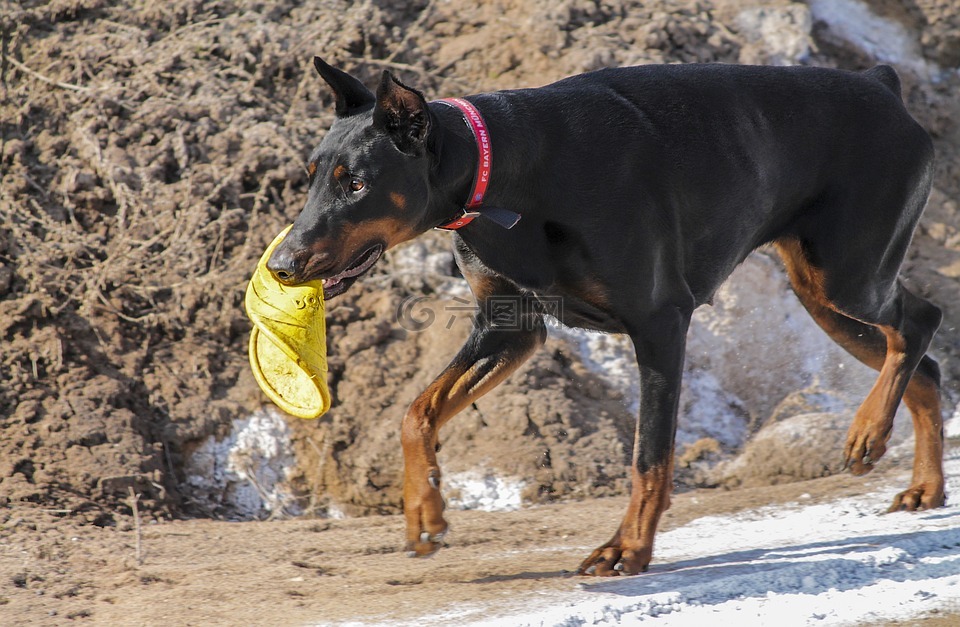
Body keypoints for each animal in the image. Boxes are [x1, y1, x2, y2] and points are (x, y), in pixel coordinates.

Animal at [268, 56, 944, 576]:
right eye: (311, 177)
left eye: (356, 184)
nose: (281, 263)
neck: (507, 175)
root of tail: (884, 84)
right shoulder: (509, 327)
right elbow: (417, 413)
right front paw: (423, 516)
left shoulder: (661, 323)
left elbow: (650, 457)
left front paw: (628, 549)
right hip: (822, 292)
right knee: (925, 364)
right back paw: (926, 487)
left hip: (848, 276)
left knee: (920, 321)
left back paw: (868, 432)